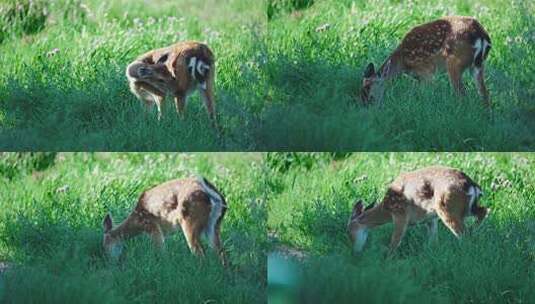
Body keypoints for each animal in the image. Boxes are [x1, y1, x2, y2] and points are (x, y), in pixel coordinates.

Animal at [348, 166, 490, 254]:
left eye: (348, 232)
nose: (354, 252)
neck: (386, 209)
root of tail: (471, 185)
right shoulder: (430, 219)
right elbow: (433, 240)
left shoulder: (400, 214)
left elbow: (395, 241)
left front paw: (387, 258)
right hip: (467, 208)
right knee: (484, 210)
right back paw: (473, 230)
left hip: (447, 208)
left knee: (464, 234)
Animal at [362, 16, 492, 107]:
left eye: (368, 87)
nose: (364, 103)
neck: (402, 62)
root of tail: (482, 36)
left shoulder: (425, 71)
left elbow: (425, 93)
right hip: (478, 65)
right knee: (484, 94)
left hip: (455, 61)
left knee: (462, 94)